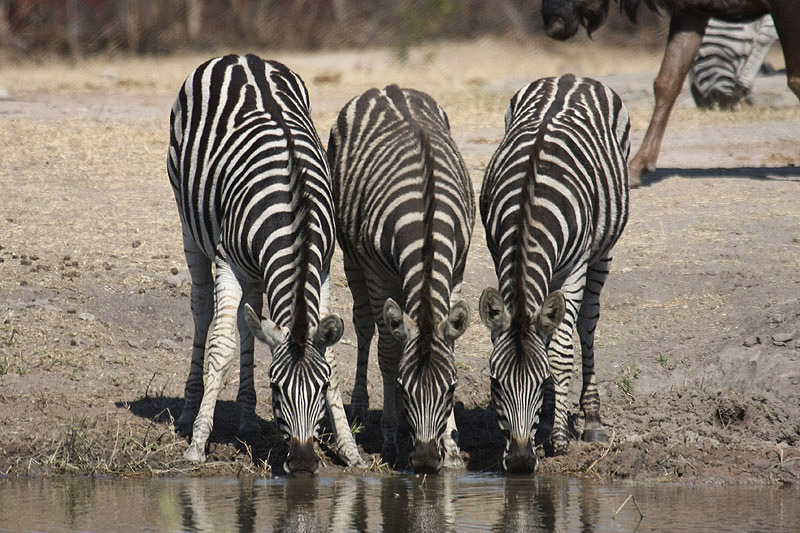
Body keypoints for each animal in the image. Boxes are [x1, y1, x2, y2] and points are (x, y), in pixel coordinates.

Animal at [167, 53, 364, 470]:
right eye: (276, 388)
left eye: (321, 386)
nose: (303, 463)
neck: (294, 216)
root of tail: (241, 57)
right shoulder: (226, 261)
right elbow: (221, 346)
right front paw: (197, 444)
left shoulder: (323, 268)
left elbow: (330, 353)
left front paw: (350, 450)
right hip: (187, 223)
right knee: (202, 309)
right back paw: (191, 409)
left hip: (256, 272)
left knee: (250, 317)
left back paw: (245, 416)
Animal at [326, 85, 476, 472]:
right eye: (405, 388)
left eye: (452, 388)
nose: (424, 460)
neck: (427, 223)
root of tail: (386, 89)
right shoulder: (377, 275)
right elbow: (388, 352)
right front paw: (391, 436)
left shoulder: (456, 270)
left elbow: (449, 344)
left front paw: (452, 447)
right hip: (352, 260)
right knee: (364, 326)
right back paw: (361, 407)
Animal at [476, 75, 632, 474]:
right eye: (495, 384)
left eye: (540, 380)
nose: (519, 461)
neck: (527, 208)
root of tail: (570, 77)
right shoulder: (499, 256)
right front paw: (548, 423)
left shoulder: (575, 269)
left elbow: (561, 353)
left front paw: (559, 440)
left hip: (603, 250)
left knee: (587, 323)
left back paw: (590, 420)